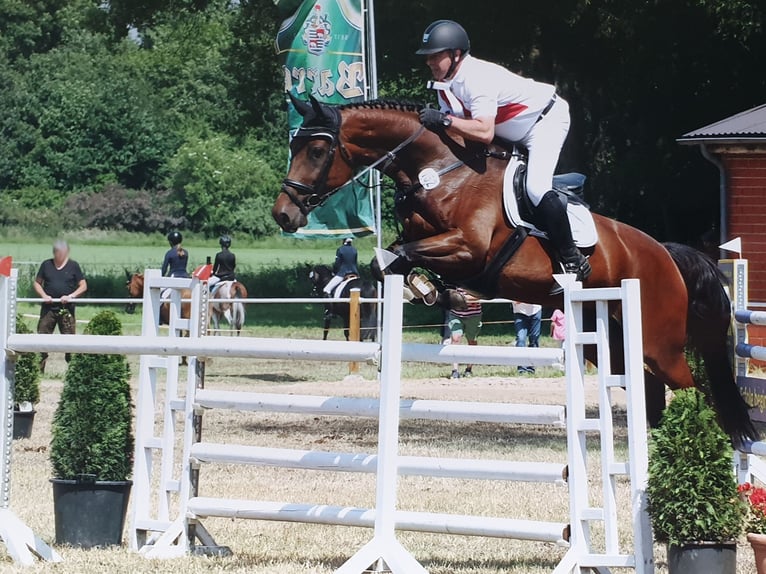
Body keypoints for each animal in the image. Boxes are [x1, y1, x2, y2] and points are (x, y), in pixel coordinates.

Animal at [272, 95, 760, 446]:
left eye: (317, 149)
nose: (283, 214)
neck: (440, 171)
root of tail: (665, 253)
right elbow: (389, 257)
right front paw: (434, 292)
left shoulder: (468, 250)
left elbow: (399, 256)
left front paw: (435, 291)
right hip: (611, 341)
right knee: (651, 392)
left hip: (660, 343)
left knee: (692, 389)